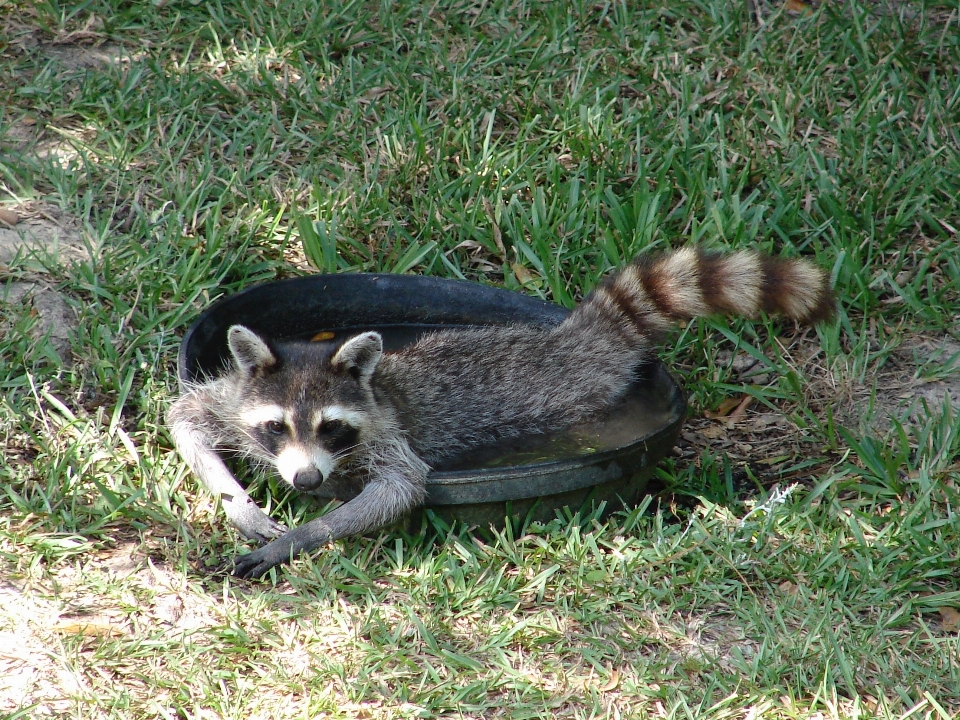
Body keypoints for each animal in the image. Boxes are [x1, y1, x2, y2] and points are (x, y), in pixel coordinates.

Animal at [169, 248, 836, 580]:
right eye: (277, 426)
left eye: (331, 427)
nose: (306, 480)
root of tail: (569, 342)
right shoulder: (236, 398)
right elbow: (186, 417)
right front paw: (239, 502)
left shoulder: (387, 431)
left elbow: (402, 487)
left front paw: (303, 535)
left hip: (576, 393)